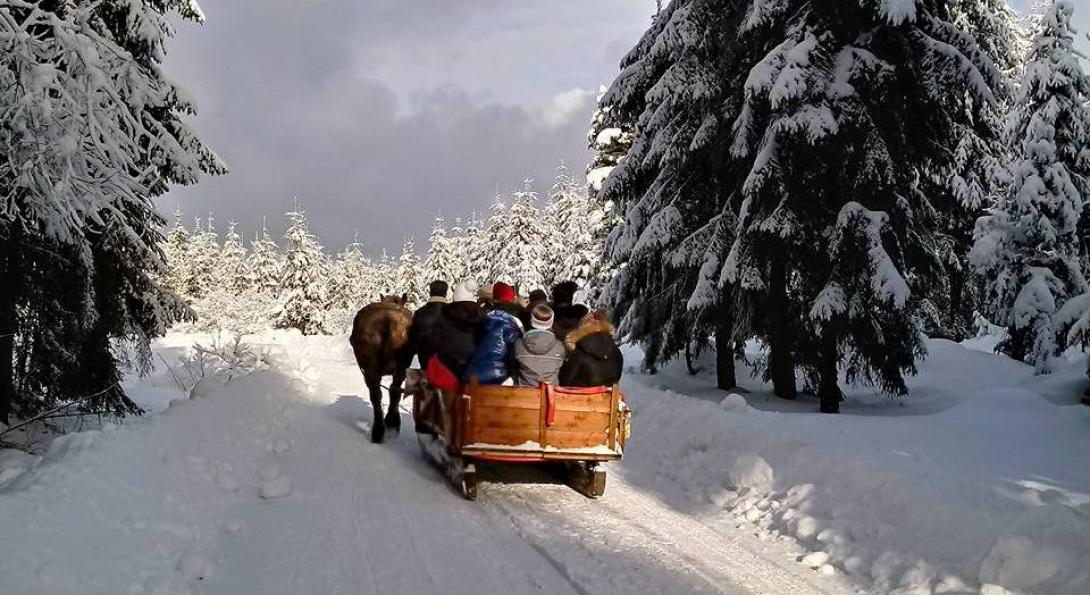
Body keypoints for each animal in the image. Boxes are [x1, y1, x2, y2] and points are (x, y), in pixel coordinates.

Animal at [350, 294, 414, 442]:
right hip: (398, 367)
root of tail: (387, 319)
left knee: (379, 394)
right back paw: (387, 425)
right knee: (392, 391)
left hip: (372, 369)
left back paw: (382, 428)